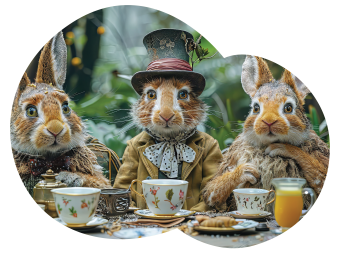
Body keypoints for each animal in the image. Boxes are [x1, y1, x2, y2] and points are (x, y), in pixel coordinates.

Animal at [202, 54, 330, 212]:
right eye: (256, 108)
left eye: (288, 108)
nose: (268, 121)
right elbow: (210, 192)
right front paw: (244, 172)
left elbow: (319, 173)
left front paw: (282, 148)